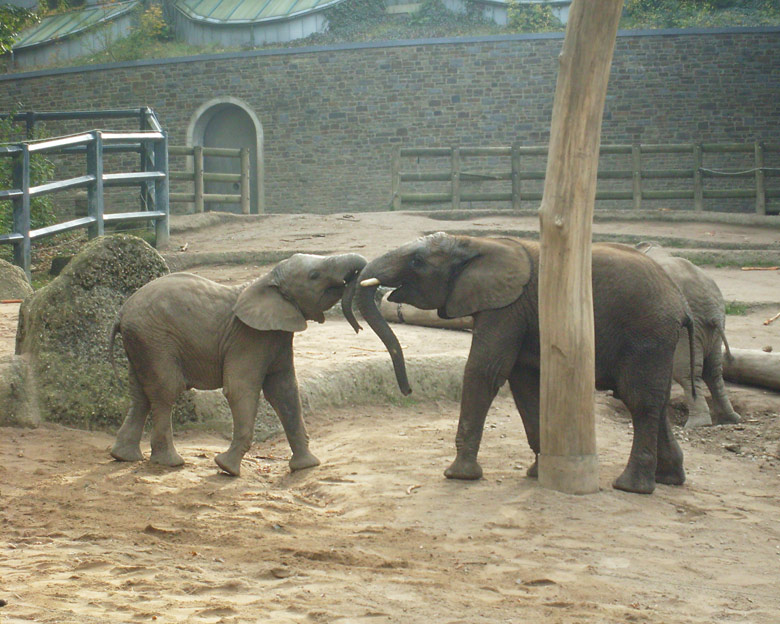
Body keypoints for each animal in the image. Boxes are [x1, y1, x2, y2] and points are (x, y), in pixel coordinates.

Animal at [108, 251, 368, 476]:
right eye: (314, 275)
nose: (359, 327)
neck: (267, 279)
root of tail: (120, 313)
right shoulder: (249, 338)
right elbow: (241, 389)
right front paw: (227, 469)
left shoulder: (277, 336)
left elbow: (285, 391)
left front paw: (306, 466)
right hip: (155, 339)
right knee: (166, 389)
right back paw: (170, 463)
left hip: (141, 341)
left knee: (141, 393)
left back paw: (124, 457)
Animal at [348, 232, 696, 494]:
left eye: (417, 262)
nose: (406, 390)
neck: (476, 243)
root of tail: (682, 303)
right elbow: (524, 384)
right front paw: (537, 472)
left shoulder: (506, 308)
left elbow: (484, 371)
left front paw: (459, 475)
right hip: (657, 339)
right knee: (652, 398)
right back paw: (669, 479)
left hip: (647, 332)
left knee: (639, 400)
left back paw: (632, 487)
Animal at [636, 241, 740, 426]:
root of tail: (712, 310)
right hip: (713, 328)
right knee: (713, 370)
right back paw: (730, 418)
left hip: (689, 327)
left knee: (687, 372)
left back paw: (697, 424)